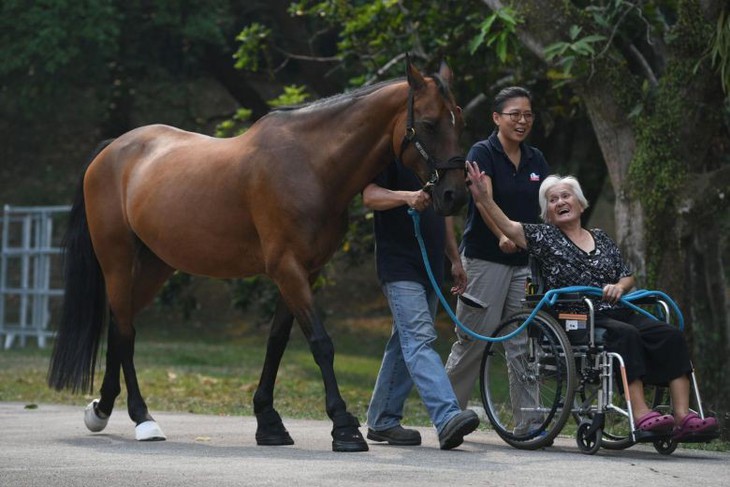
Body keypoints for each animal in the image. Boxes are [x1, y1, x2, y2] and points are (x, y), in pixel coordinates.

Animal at [48, 58, 466, 454]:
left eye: (457, 119)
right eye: (428, 124)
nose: (453, 195)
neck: (310, 164)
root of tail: (111, 149)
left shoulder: (304, 272)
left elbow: (277, 342)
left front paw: (269, 422)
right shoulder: (288, 268)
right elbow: (320, 342)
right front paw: (344, 428)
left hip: (154, 266)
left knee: (120, 326)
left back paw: (102, 409)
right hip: (117, 261)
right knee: (125, 330)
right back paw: (142, 418)